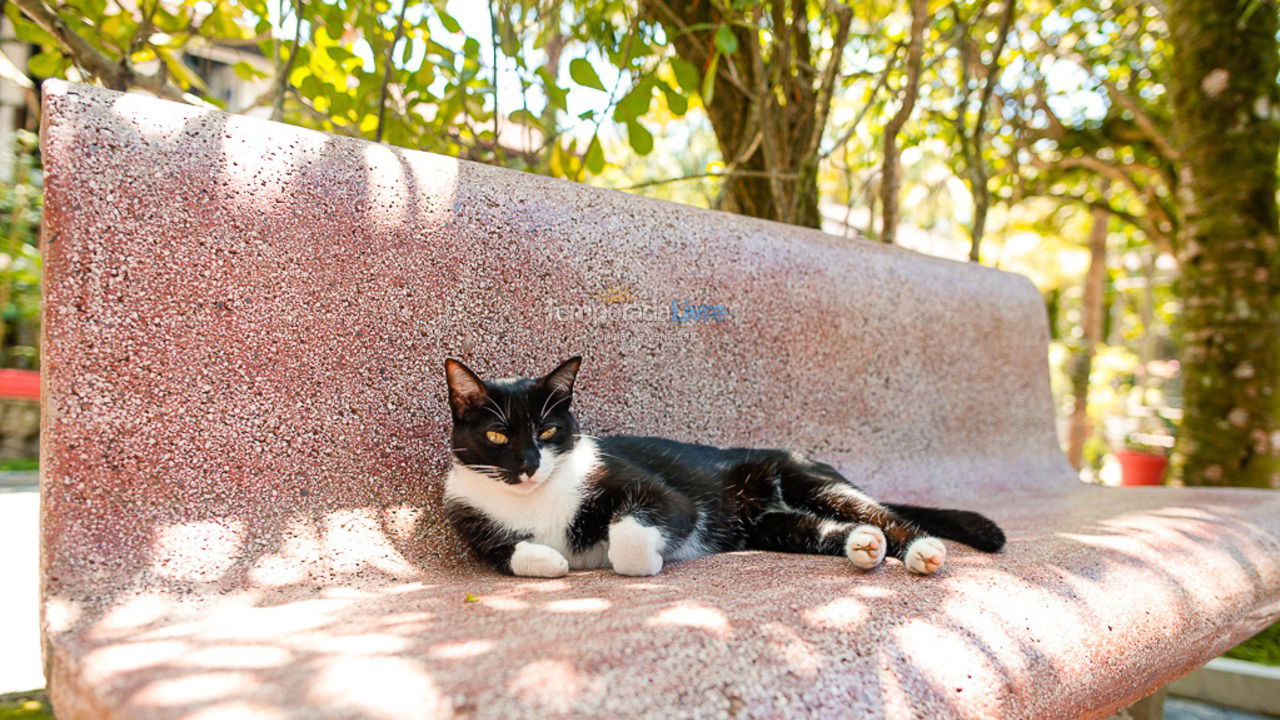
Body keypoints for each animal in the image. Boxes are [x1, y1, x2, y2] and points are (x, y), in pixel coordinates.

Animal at [445, 353, 1003, 576]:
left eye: (547, 432)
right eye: (497, 435)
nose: (528, 465)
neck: (534, 500)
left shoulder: (664, 497)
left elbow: (634, 531)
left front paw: (643, 560)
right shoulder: (468, 516)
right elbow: (504, 553)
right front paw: (551, 561)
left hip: (806, 479)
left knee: (882, 513)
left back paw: (920, 550)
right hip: (772, 527)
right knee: (822, 528)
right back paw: (863, 546)